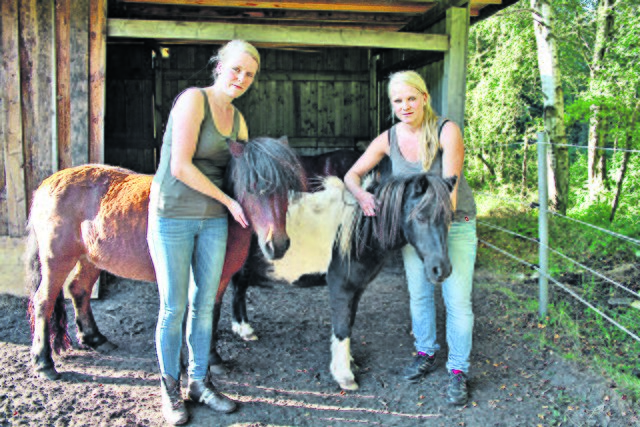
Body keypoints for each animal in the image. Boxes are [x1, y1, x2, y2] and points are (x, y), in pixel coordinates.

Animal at [28, 137, 308, 382]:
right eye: (252, 187)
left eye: (286, 189)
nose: (277, 244)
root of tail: (47, 184)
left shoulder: (219, 278)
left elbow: (211, 314)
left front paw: (213, 359)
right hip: (57, 259)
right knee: (44, 301)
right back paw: (44, 363)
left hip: (90, 258)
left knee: (80, 290)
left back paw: (95, 339)